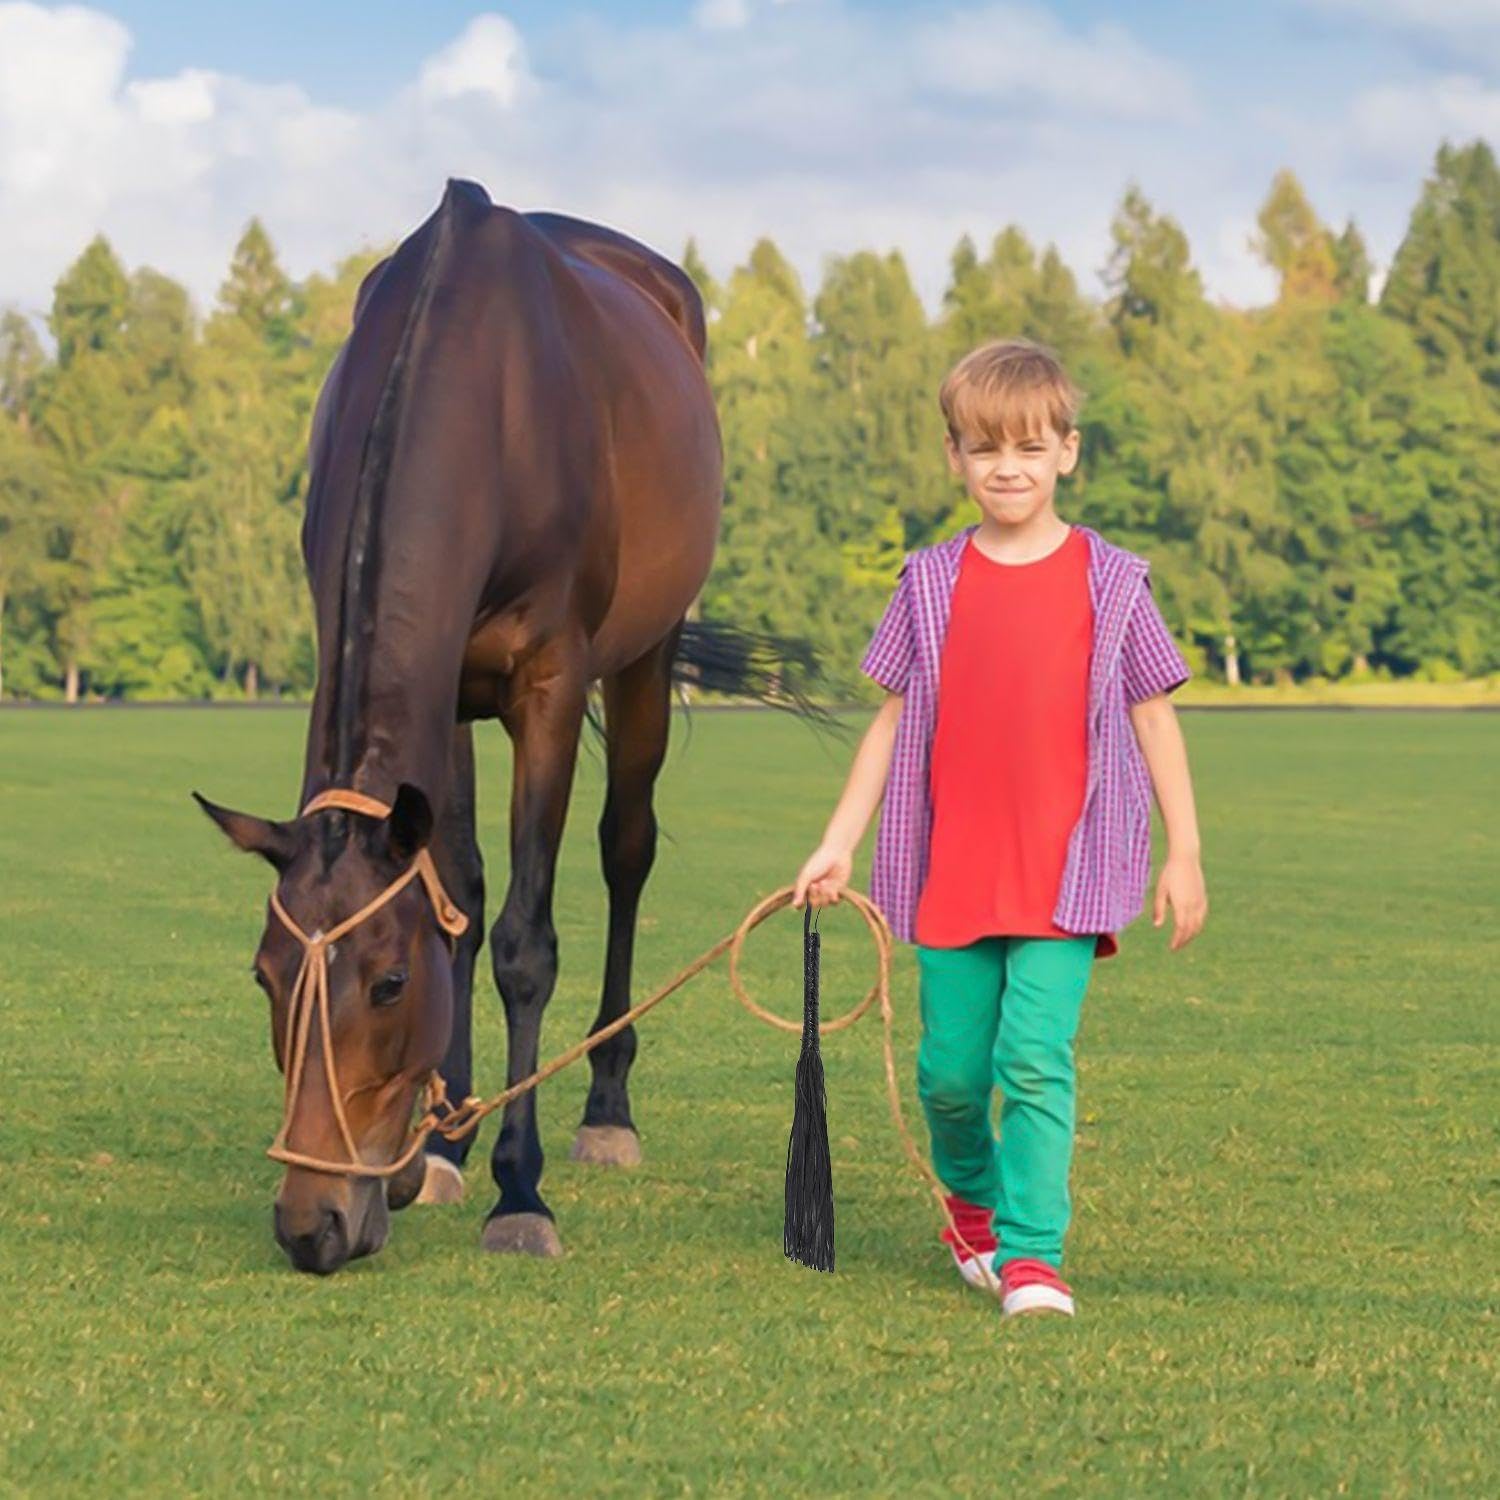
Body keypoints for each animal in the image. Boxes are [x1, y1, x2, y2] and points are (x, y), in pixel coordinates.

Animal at [195, 178, 830, 1274]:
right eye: (264, 975)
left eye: (388, 984)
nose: (312, 1226)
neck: (482, 395)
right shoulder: (443, 687)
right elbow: (454, 888)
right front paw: (439, 1149)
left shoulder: (549, 680)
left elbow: (524, 942)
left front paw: (517, 1189)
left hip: (645, 656)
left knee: (626, 850)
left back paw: (607, 1106)